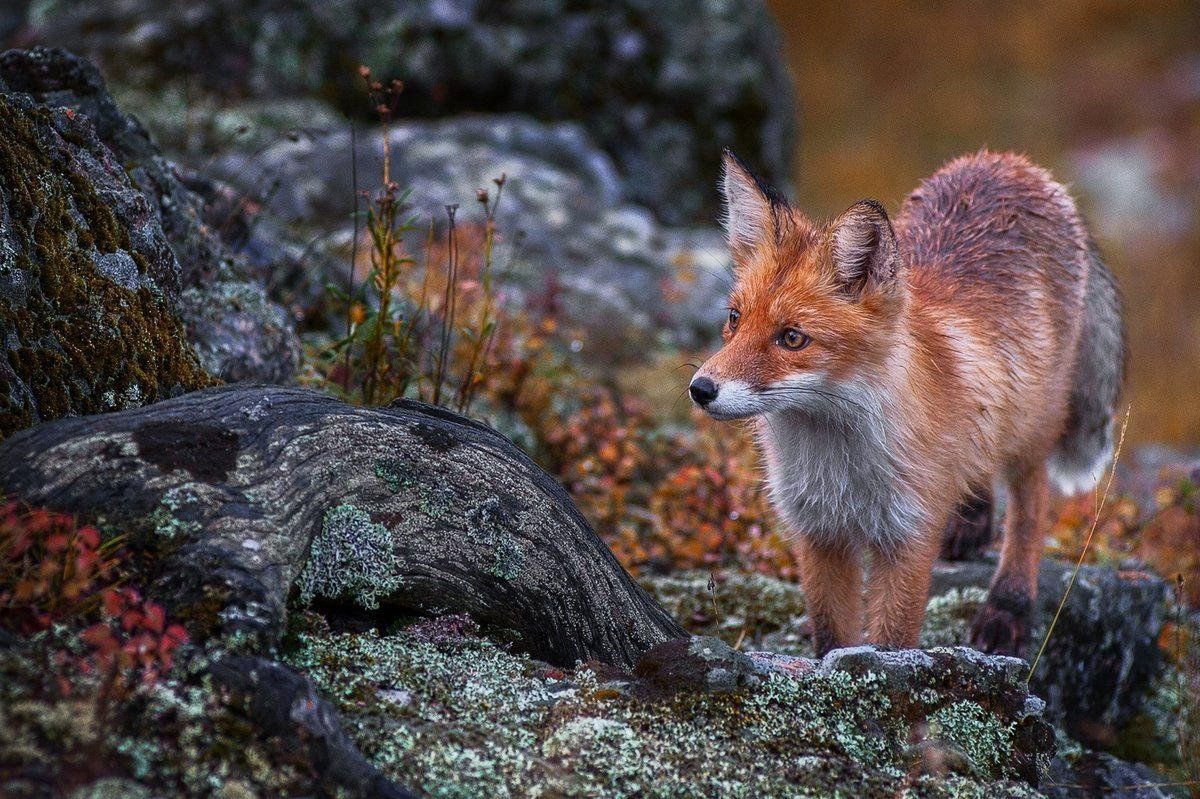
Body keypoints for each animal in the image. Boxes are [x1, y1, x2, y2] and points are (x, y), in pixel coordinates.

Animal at [696, 149, 1123, 652]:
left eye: (792, 338)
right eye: (734, 318)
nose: (700, 389)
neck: (841, 469)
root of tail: (1007, 161)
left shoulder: (908, 536)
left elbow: (893, 639)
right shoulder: (818, 531)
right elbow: (831, 635)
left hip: (1034, 424)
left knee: (1030, 508)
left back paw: (1010, 602)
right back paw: (971, 519)